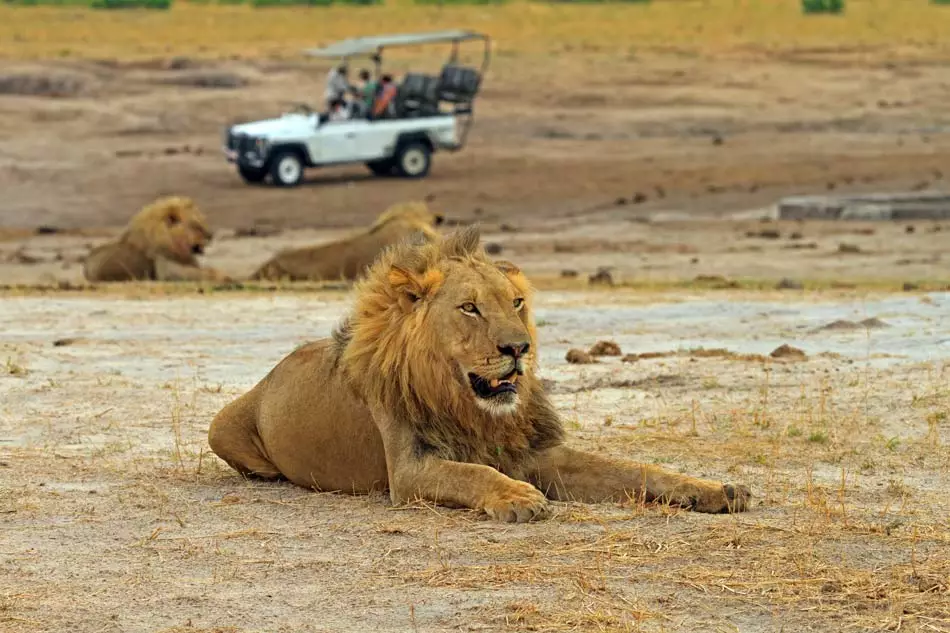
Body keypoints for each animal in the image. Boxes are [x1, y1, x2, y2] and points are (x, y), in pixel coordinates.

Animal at [82, 196, 229, 282]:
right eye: (196, 225)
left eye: (203, 221)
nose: (211, 235)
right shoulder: (165, 268)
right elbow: (199, 273)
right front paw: (224, 276)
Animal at [208, 226, 751, 522]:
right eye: (469, 308)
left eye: (517, 303)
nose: (518, 347)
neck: (473, 410)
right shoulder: (410, 470)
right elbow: (474, 472)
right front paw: (518, 497)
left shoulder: (538, 451)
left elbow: (636, 469)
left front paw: (715, 489)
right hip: (219, 427)